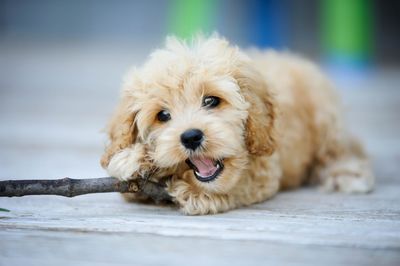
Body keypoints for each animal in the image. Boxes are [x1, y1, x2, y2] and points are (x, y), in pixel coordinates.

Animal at [100, 35, 376, 215]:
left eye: (211, 100)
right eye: (163, 115)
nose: (191, 137)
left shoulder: (265, 169)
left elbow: (240, 184)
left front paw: (197, 195)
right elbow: (131, 186)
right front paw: (133, 157)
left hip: (326, 115)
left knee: (340, 150)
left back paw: (346, 175)